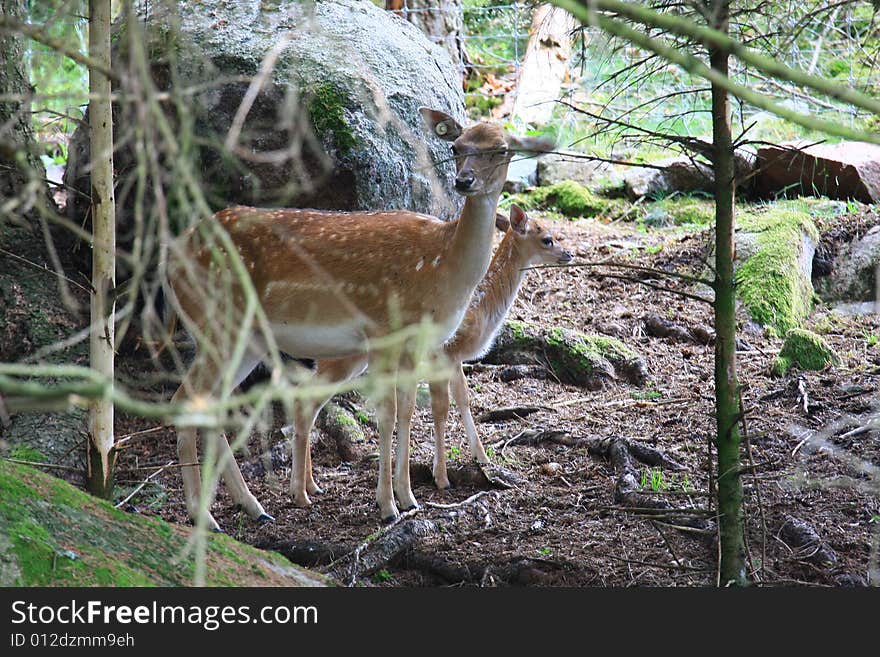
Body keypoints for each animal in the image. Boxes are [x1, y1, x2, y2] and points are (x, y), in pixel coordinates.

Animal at [166, 107, 552, 528]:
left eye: (501, 149)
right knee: (187, 399)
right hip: (218, 321)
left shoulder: (418, 343)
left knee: (210, 404)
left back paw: (252, 507)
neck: (443, 267)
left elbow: (407, 412)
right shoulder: (382, 329)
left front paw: (409, 497)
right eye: (457, 146)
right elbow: (387, 414)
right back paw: (203, 514)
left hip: (243, 339)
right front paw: (387, 505)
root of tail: (171, 257)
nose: (464, 180)